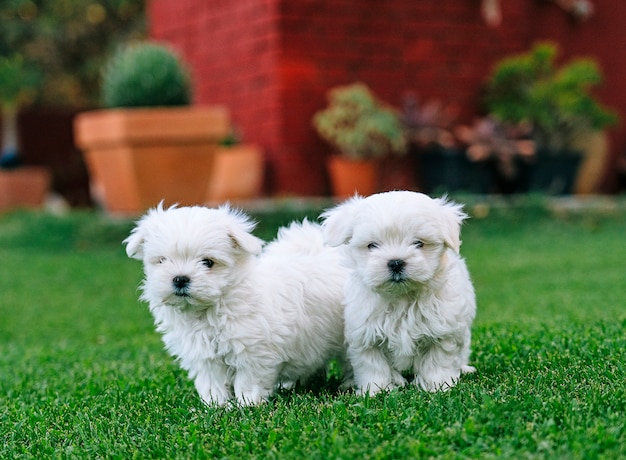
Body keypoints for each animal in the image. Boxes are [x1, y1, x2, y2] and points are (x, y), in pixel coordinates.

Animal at [122, 205, 346, 406]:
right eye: (162, 260)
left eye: (208, 262)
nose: (180, 279)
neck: (212, 307)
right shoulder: (204, 356)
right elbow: (211, 381)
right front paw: (216, 405)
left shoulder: (253, 351)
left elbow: (248, 380)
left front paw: (247, 404)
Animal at [322, 190, 472, 396]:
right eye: (372, 245)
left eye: (418, 243)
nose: (395, 262)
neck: (401, 297)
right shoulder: (365, 334)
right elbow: (373, 365)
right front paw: (375, 390)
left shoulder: (443, 329)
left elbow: (437, 360)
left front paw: (437, 386)